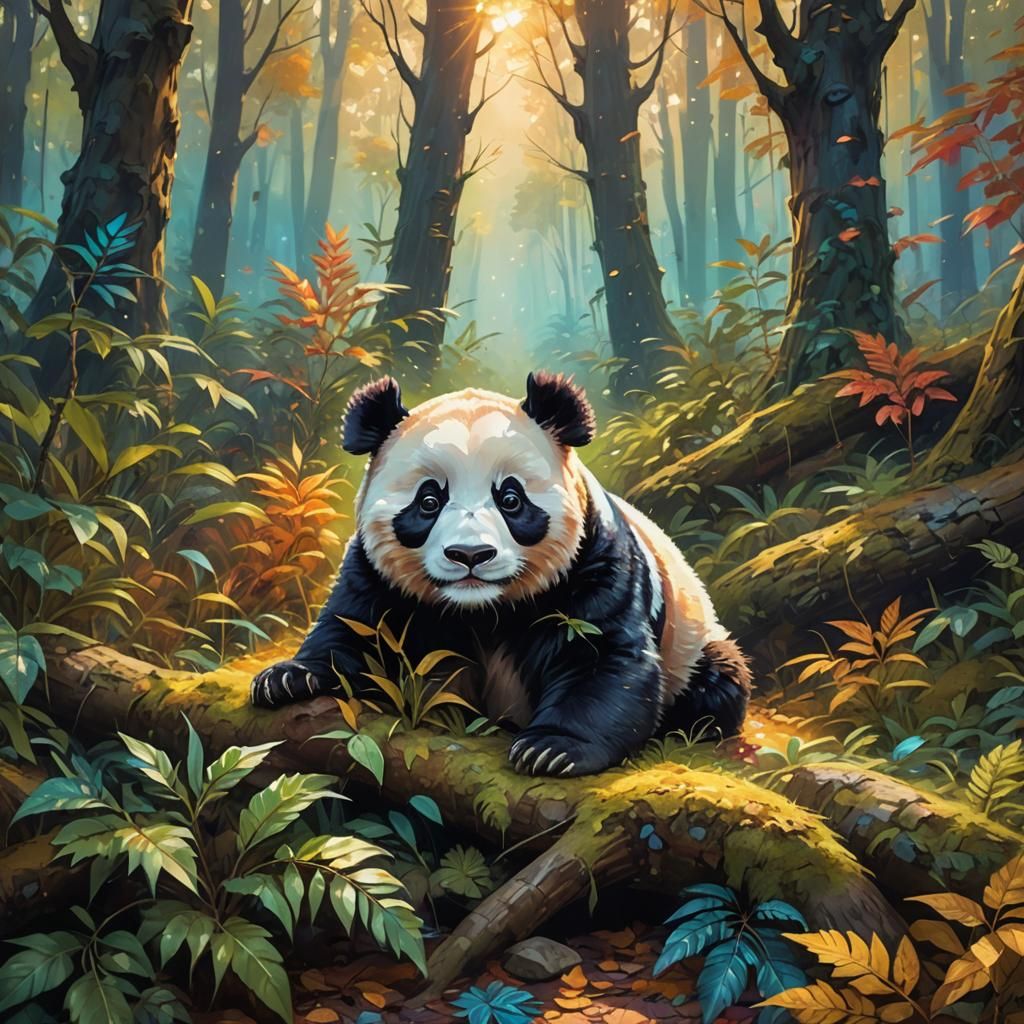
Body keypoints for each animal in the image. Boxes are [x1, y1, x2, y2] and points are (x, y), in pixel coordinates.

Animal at [250, 372, 751, 777]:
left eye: (510, 498)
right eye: (428, 501)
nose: (470, 554)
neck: (482, 608)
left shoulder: (596, 565)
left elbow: (602, 656)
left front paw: (551, 749)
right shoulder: (376, 574)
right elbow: (354, 628)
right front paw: (289, 678)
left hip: (693, 638)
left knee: (718, 682)